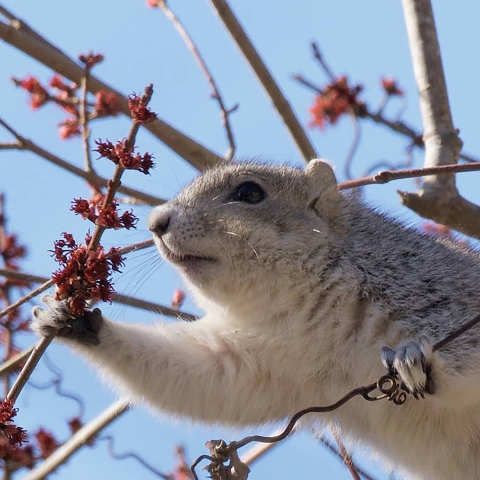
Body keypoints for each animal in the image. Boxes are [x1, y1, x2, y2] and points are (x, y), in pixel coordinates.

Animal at [31, 159, 480, 478]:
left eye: (249, 193)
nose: (156, 222)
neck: (309, 312)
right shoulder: (264, 364)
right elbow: (201, 377)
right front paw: (75, 323)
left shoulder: (436, 290)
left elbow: (462, 350)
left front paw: (413, 358)